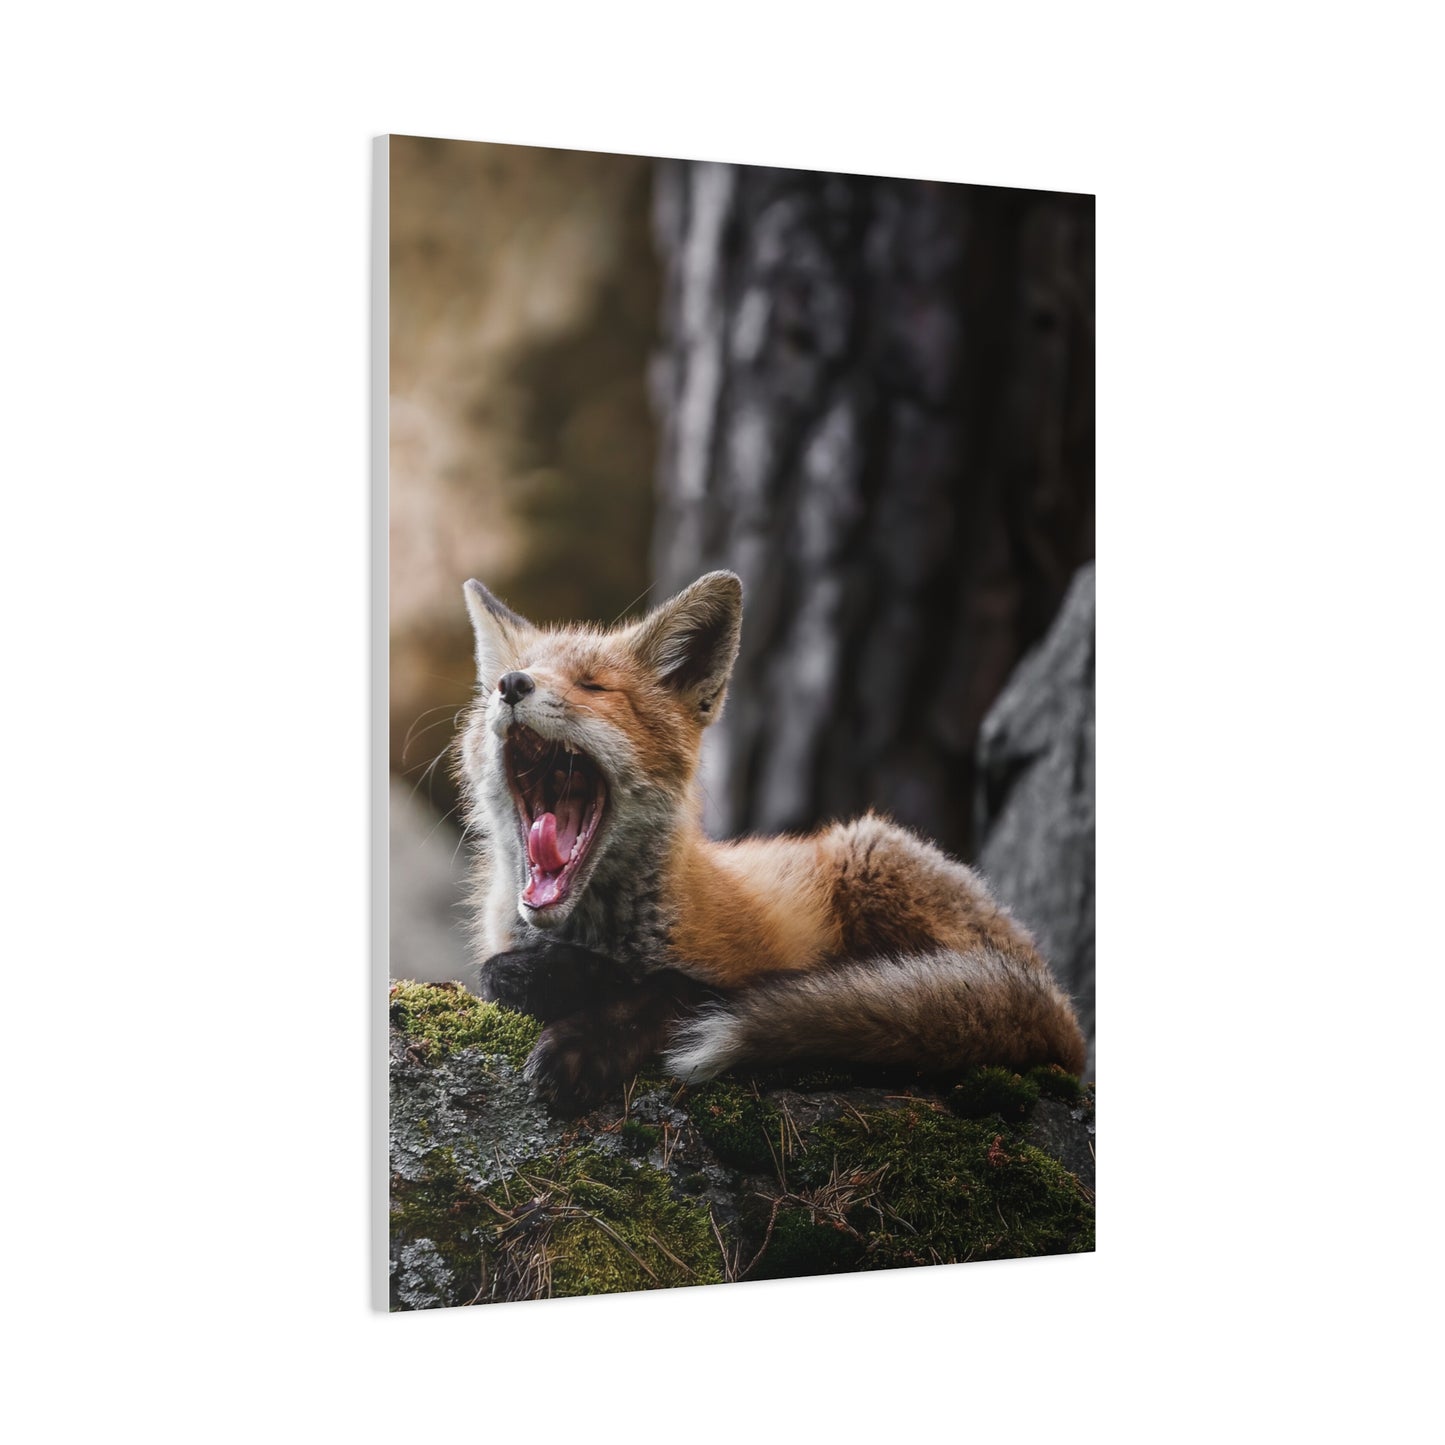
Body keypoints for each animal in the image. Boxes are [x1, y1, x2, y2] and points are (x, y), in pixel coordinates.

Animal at [456, 569, 1086, 1114]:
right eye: (506, 680)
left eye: (592, 686)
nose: (512, 686)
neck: (592, 934)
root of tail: (1058, 1001)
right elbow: (494, 973)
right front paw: (562, 981)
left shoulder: (731, 971)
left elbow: (670, 990)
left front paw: (585, 1039)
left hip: (869, 854)